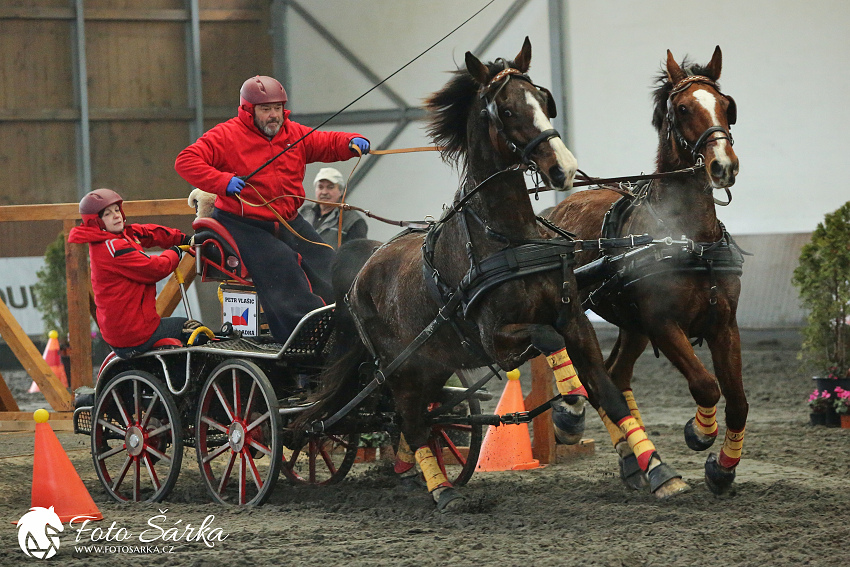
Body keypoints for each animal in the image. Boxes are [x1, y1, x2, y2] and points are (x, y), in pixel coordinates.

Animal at [302, 37, 684, 512]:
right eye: (506, 110)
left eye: (543, 99)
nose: (563, 168)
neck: (508, 239)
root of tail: (362, 271)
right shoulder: (497, 340)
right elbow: (549, 342)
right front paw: (568, 411)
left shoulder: (575, 321)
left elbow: (608, 391)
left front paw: (658, 471)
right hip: (397, 366)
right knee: (409, 419)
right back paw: (442, 491)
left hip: (430, 363)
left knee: (415, 418)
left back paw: (416, 475)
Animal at [548, 46, 744, 494]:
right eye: (683, 108)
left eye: (726, 105)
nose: (723, 165)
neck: (690, 240)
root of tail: (557, 209)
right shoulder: (662, 324)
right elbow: (706, 385)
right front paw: (699, 432)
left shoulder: (724, 324)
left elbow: (737, 402)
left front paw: (721, 469)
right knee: (589, 376)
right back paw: (572, 418)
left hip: (631, 325)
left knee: (615, 376)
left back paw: (635, 461)